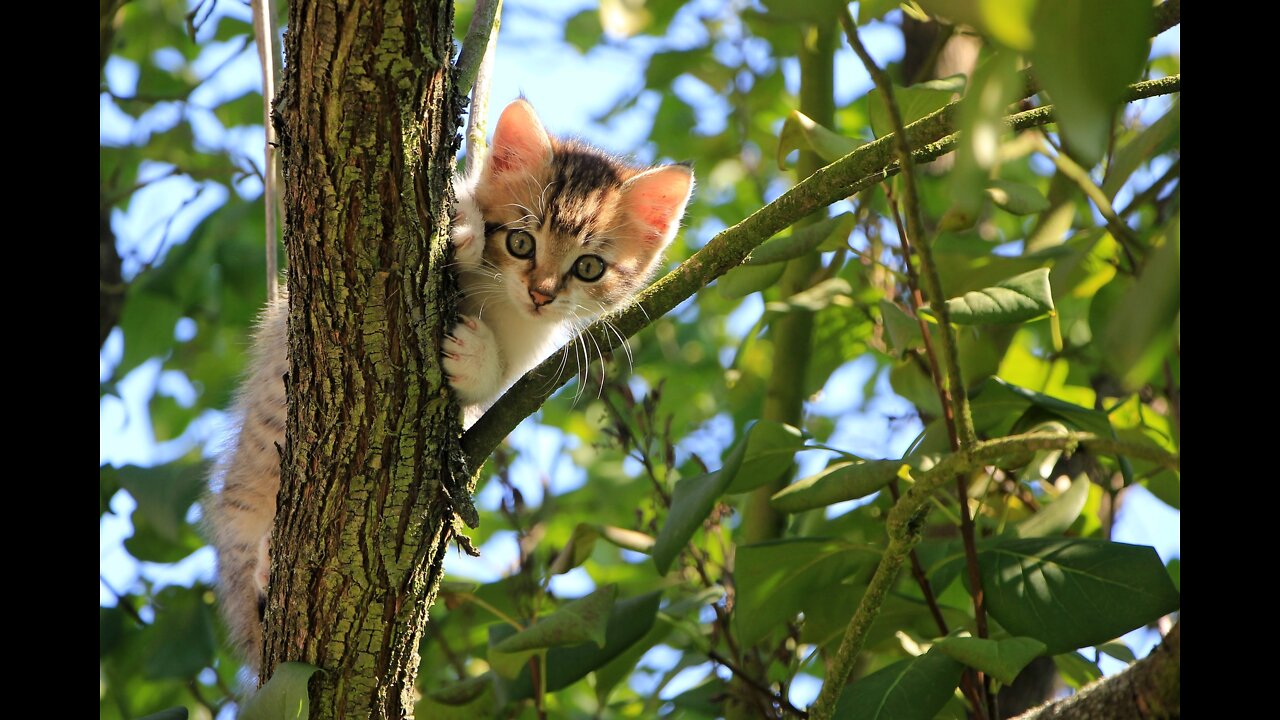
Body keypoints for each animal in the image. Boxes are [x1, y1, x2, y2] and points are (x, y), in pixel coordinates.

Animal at [206, 96, 696, 671]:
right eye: (521, 241)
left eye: (589, 267)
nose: (542, 293)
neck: (501, 302)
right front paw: (463, 229)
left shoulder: (526, 357)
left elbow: (492, 385)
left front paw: (474, 355)